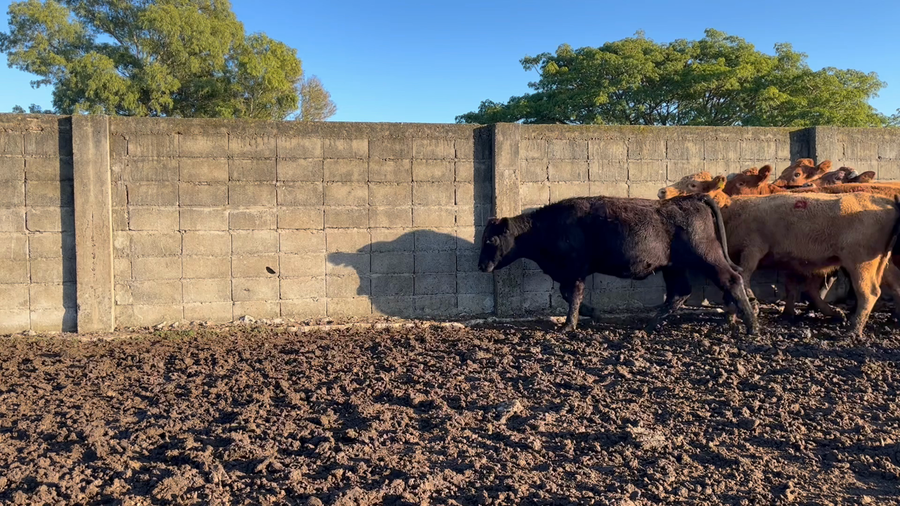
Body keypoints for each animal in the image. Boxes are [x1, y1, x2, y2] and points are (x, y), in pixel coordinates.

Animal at [478, 194, 758, 334]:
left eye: (491, 239)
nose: (481, 266)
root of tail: (693, 199)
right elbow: (568, 294)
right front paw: (594, 313)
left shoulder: (575, 269)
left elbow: (572, 295)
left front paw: (569, 325)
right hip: (673, 267)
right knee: (679, 293)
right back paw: (649, 326)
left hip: (706, 256)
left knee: (732, 279)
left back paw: (752, 326)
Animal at [660, 177, 900, 336]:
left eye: (692, 184)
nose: (661, 191)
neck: (733, 210)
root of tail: (887, 203)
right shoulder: (787, 261)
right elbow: (791, 288)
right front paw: (785, 314)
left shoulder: (753, 248)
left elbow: (745, 276)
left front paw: (746, 308)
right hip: (880, 261)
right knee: (891, 285)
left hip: (861, 261)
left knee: (869, 292)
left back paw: (853, 329)